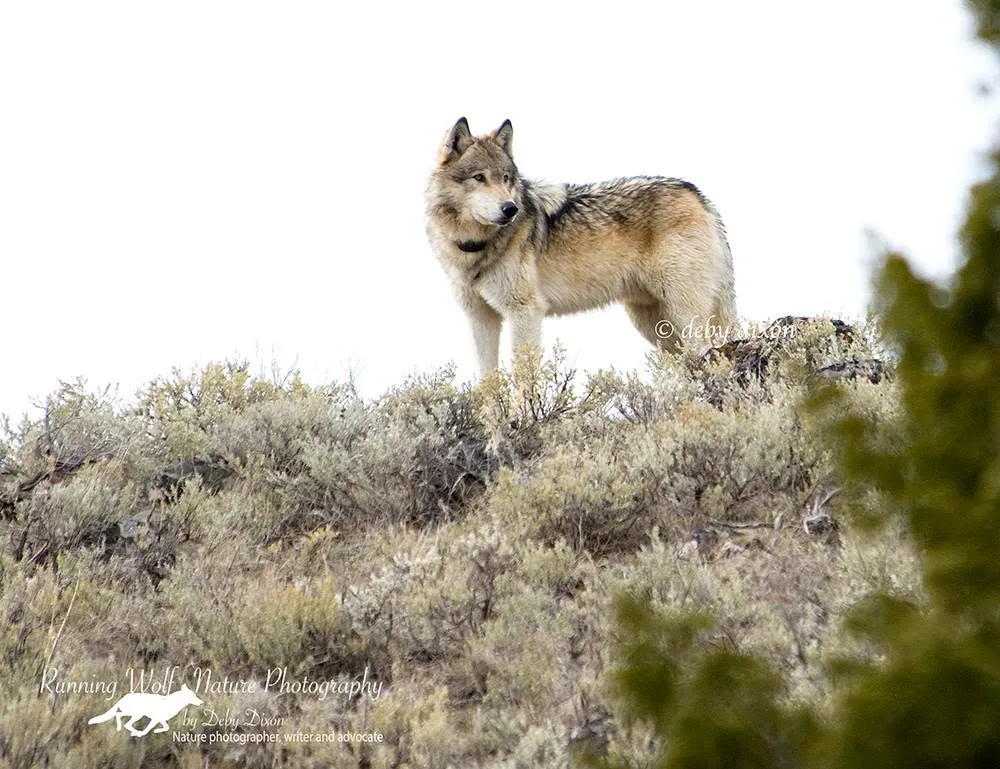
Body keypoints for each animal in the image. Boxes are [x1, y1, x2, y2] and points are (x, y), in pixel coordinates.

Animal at [425, 117, 736, 377]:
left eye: (506, 179)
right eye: (479, 177)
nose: (510, 208)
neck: (474, 247)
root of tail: (699, 196)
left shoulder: (525, 313)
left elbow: (523, 377)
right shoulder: (480, 318)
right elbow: (487, 380)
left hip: (683, 317)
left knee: (710, 355)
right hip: (653, 324)